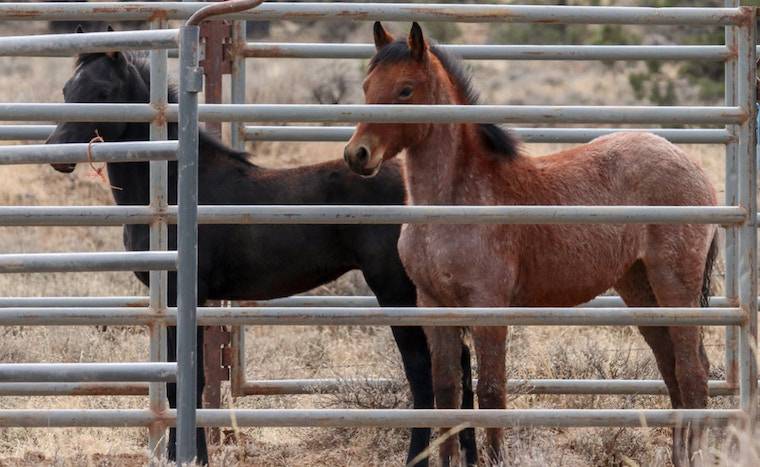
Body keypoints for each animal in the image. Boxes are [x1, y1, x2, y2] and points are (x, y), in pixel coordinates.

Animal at [44, 38, 478, 466]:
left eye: (104, 93)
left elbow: (191, 382)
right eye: (66, 89)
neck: (175, 187)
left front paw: (190, 457)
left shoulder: (188, 295)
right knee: (458, 364)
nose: (56, 153)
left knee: (424, 370)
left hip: (397, 291)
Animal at [344, 22, 718, 467]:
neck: (456, 200)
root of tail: (695, 168)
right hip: (640, 287)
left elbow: (491, 391)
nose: (357, 154)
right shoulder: (434, 305)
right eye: (366, 86)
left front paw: (495, 458)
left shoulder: (488, 306)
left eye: (405, 90)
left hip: (674, 284)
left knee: (693, 372)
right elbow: (447, 391)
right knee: (672, 367)